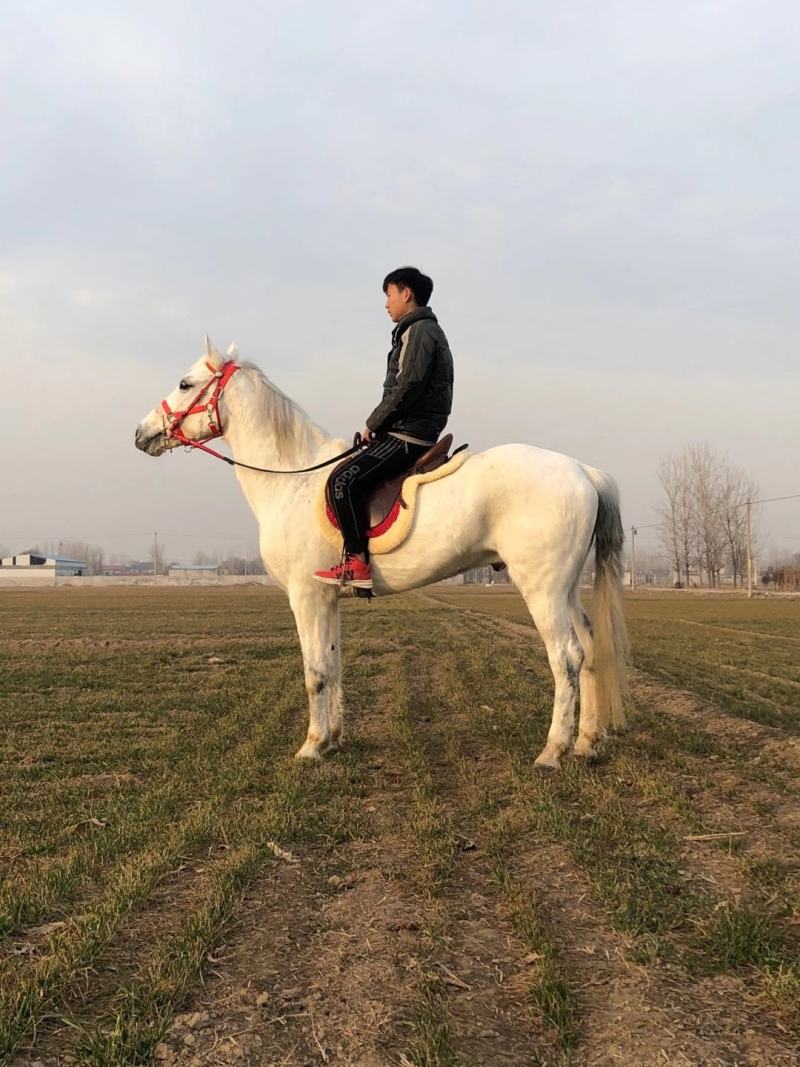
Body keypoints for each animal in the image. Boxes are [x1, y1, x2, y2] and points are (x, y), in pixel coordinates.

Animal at [135, 337, 629, 770]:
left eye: (184, 384)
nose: (141, 433)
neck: (294, 479)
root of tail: (582, 470)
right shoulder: (327, 597)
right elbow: (333, 663)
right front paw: (332, 740)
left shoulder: (305, 597)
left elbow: (315, 669)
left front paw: (311, 747)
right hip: (567, 588)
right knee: (589, 648)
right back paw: (587, 744)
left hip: (542, 588)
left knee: (566, 657)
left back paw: (552, 752)